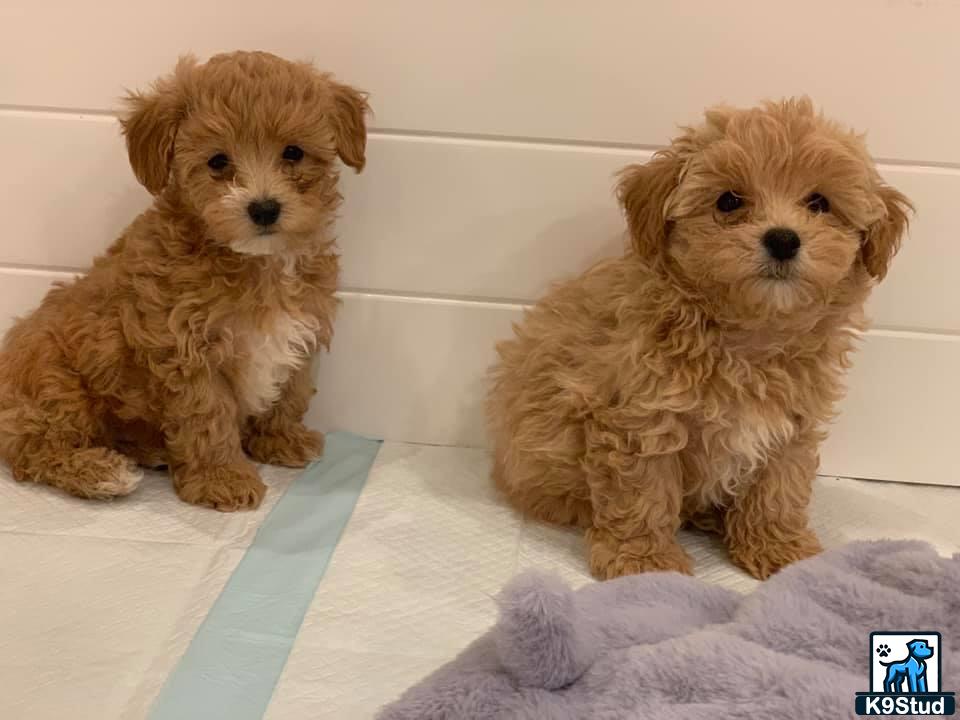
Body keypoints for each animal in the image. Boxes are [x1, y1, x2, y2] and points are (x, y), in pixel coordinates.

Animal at [0, 50, 368, 512]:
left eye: (293, 153)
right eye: (217, 162)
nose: (264, 208)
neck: (257, 262)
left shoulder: (303, 328)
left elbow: (291, 391)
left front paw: (280, 439)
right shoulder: (184, 349)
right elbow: (207, 417)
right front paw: (222, 478)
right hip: (53, 377)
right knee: (33, 447)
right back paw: (103, 472)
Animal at [492, 98, 912, 580]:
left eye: (819, 202)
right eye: (728, 201)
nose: (783, 239)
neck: (747, 339)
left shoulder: (791, 425)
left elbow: (778, 489)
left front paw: (779, 549)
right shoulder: (639, 420)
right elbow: (642, 494)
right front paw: (645, 564)